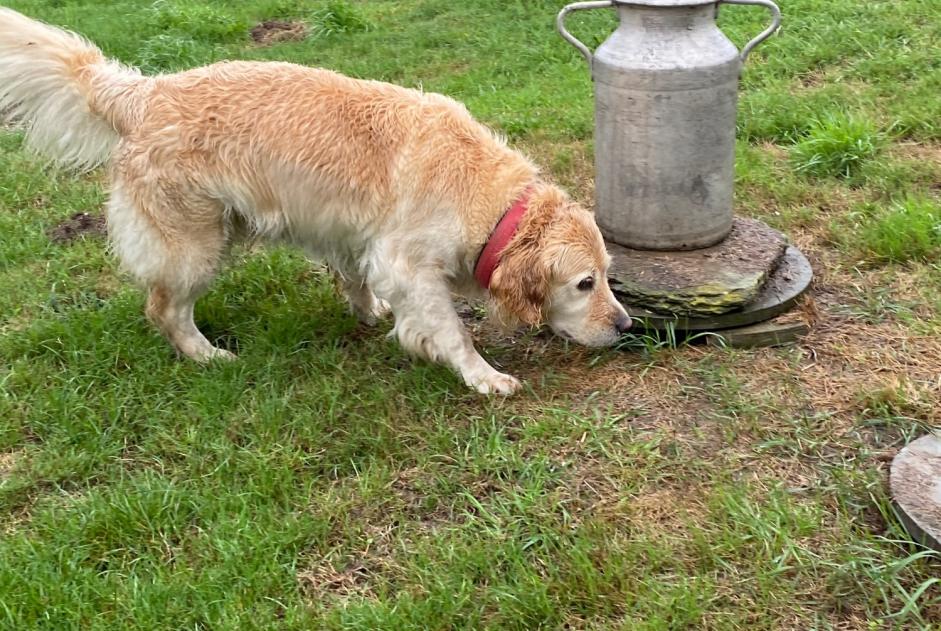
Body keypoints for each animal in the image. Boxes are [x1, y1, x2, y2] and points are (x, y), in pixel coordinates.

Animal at [1, 7, 632, 396]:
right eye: (584, 284)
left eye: (608, 276)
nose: (625, 325)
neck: (489, 200)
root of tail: (142, 91)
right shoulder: (408, 263)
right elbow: (453, 330)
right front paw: (482, 375)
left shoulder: (358, 240)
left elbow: (358, 279)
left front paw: (373, 313)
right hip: (194, 245)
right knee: (164, 308)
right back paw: (207, 356)